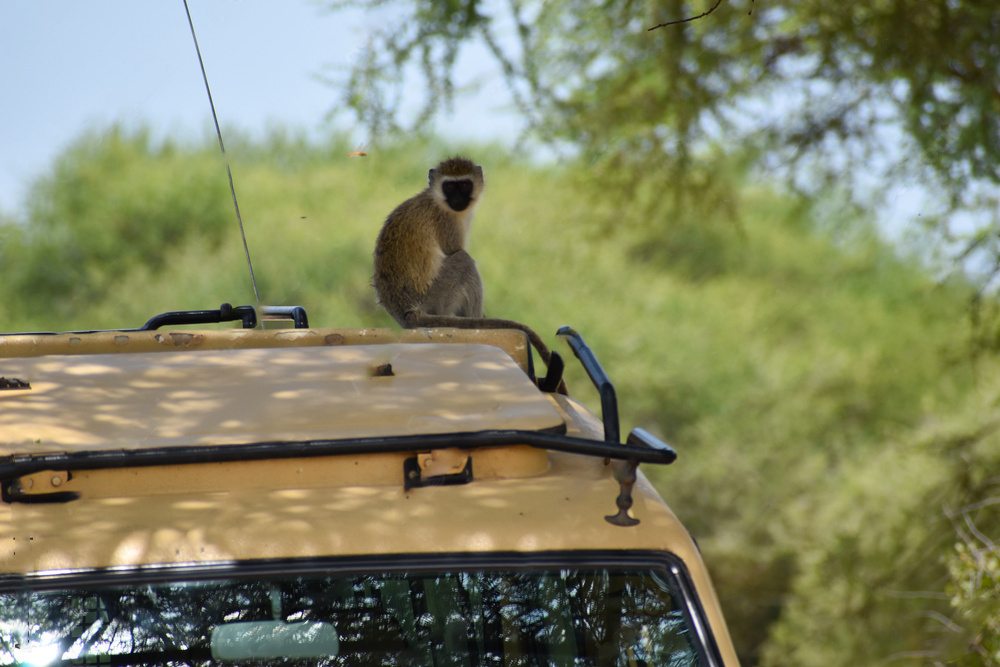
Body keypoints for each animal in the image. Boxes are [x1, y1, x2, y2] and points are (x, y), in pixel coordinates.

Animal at [374, 156, 564, 392]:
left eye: (464, 185)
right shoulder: (447, 221)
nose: (457, 199)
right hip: (436, 295)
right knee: (464, 261)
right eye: (449, 186)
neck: (438, 200)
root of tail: (407, 311)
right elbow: (455, 250)